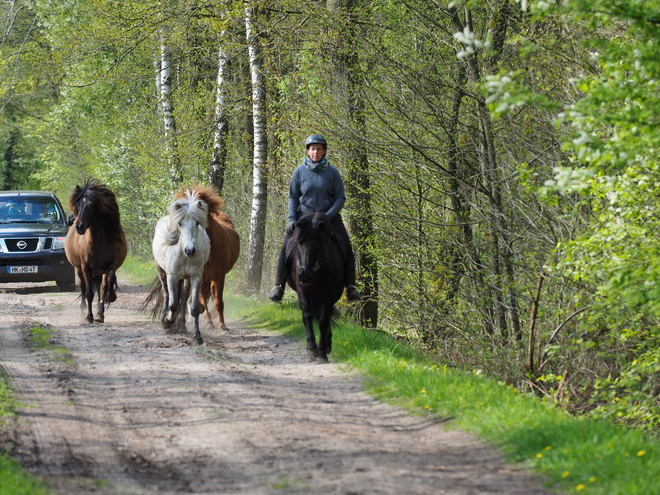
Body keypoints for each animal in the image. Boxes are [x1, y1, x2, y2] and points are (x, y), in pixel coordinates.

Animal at [64, 180, 127, 324]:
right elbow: (89, 292)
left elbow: (108, 282)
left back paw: (100, 312)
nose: (79, 226)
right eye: (78, 204)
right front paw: (89, 317)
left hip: (99, 271)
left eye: (92, 205)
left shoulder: (111, 265)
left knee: (100, 286)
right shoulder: (85, 267)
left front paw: (110, 298)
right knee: (83, 287)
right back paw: (83, 311)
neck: (97, 243)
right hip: (79, 270)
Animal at [151, 190, 210, 344]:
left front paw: (197, 336)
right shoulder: (172, 275)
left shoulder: (196, 277)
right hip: (161, 271)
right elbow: (173, 305)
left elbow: (194, 307)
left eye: (197, 223)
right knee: (167, 293)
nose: (190, 250)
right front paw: (167, 321)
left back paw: (182, 325)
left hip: (186, 278)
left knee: (183, 298)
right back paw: (166, 318)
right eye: (180, 223)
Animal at [284, 213, 346, 364]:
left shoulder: (329, 295)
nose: (305, 276)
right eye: (299, 243)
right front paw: (312, 350)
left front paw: (322, 353)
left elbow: (323, 321)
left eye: (319, 244)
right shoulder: (303, 292)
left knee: (327, 317)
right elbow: (308, 316)